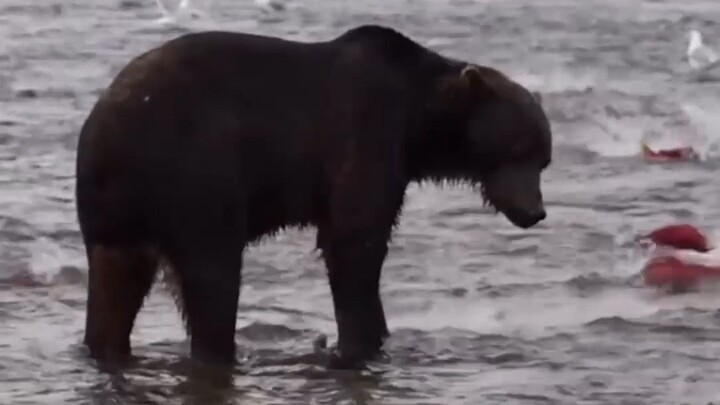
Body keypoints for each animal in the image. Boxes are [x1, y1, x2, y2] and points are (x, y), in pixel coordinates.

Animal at [75, 24, 552, 368]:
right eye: (519, 150)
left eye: (543, 159)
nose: (535, 211)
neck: (418, 123)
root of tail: (104, 129)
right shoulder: (366, 135)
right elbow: (356, 242)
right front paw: (361, 342)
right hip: (198, 173)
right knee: (213, 274)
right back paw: (222, 352)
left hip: (116, 217)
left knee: (114, 287)